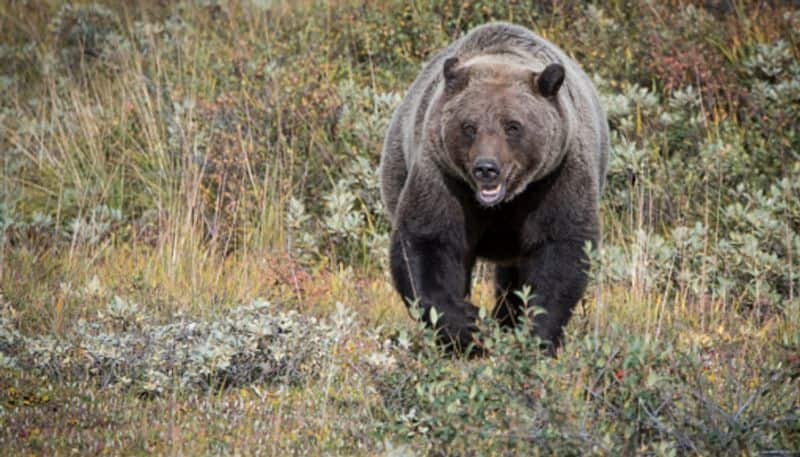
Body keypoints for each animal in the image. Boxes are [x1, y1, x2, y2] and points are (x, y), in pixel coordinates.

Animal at [378, 21, 608, 352]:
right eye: (469, 126)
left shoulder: (556, 178)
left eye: (513, 126)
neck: (503, 203)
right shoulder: (443, 176)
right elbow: (428, 241)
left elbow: (561, 248)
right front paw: (467, 325)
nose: (486, 168)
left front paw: (535, 334)